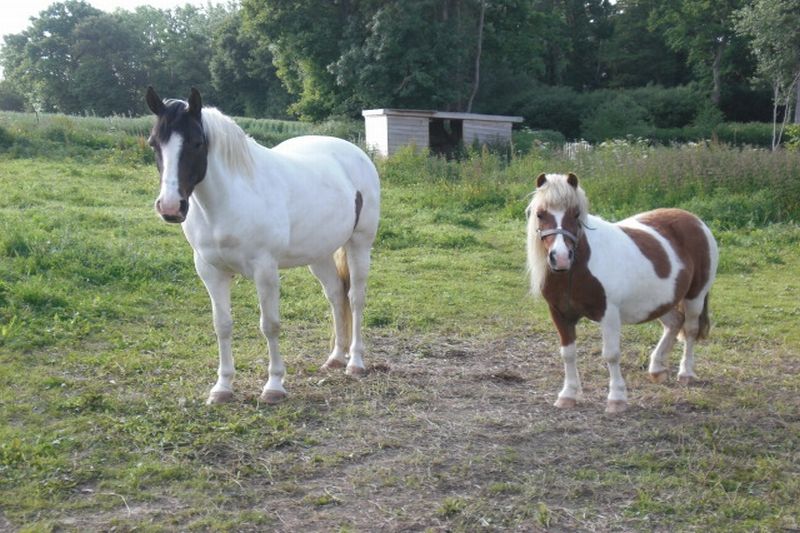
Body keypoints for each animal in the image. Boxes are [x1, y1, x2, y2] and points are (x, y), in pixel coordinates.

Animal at [146, 87, 382, 404]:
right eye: (154, 143)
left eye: (197, 143)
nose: (171, 207)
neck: (231, 198)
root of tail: (356, 154)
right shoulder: (210, 271)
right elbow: (222, 325)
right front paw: (222, 387)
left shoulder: (265, 270)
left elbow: (270, 325)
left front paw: (274, 386)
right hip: (318, 255)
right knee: (335, 295)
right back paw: (335, 358)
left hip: (360, 244)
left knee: (355, 298)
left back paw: (355, 362)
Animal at [524, 172, 720, 414]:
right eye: (540, 214)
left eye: (576, 213)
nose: (560, 258)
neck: (575, 271)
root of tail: (696, 221)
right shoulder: (560, 314)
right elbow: (568, 354)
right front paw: (567, 395)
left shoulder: (608, 315)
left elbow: (611, 354)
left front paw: (616, 398)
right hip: (661, 301)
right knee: (675, 323)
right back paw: (657, 369)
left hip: (695, 296)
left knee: (690, 329)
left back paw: (686, 374)